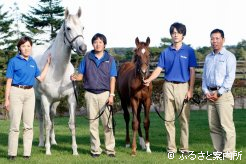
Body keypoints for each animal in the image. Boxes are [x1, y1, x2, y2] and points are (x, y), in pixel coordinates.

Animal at [32, 7, 87, 155]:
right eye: (68, 28)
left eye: (83, 27)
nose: (83, 48)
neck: (57, 70)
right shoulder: (45, 99)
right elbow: (47, 123)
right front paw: (47, 150)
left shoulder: (71, 99)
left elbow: (71, 124)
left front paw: (75, 151)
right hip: (38, 100)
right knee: (42, 118)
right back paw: (41, 142)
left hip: (55, 103)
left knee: (52, 117)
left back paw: (53, 141)